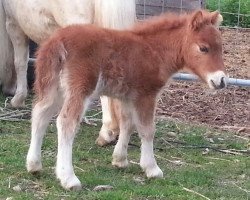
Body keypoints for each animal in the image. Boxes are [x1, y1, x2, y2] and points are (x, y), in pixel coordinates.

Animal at [26, 9, 227, 191]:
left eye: (221, 48)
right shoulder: (146, 95)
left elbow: (127, 124)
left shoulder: (127, 96)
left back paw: (34, 165)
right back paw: (68, 178)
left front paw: (120, 160)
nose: (221, 81)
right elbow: (147, 130)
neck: (154, 51)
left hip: (53, 88)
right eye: (203, 48)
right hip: (79, 89)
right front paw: (152, 168)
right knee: (66, 122)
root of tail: (57, 41)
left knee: (39, 114)